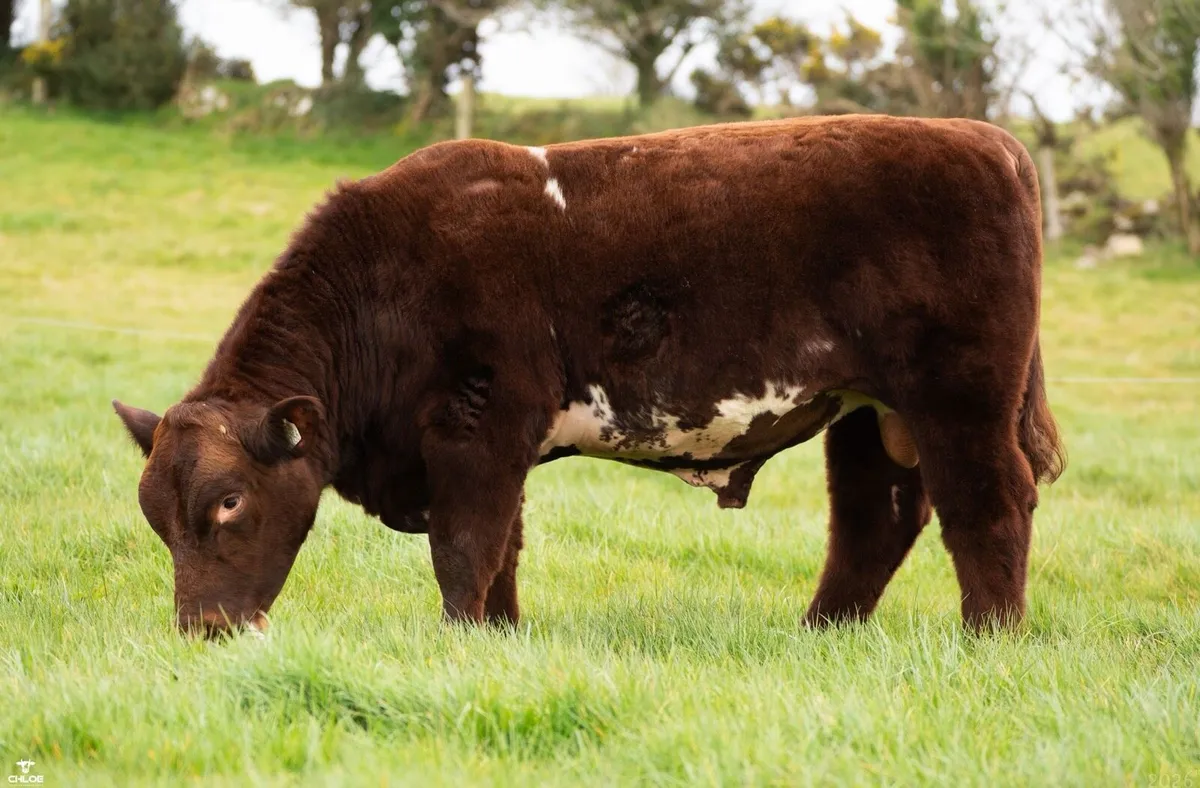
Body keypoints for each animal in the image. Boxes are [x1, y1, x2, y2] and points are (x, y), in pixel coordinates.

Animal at [113, 114, 1064, 638]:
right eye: (156, 514)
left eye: (228, 501)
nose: (203, 630)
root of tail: (988, 141)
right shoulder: (491, 447)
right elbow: (503, 550)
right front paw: (499, 638)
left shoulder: (479, 428)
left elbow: (466, 548)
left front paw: (459, 640)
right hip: (867, 411)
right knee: (878, 519)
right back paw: (819, 636)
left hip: (960, 397)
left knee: (989, 506)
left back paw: (991, 639)